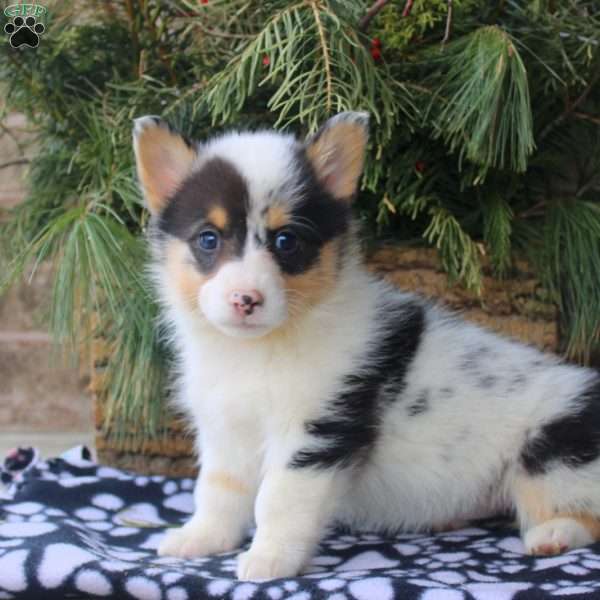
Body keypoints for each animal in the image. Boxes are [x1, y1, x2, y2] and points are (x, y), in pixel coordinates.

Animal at [134, 113, 600, 580]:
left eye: (286, 241)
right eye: (208, 239)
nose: (245, 300)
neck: (257, 349)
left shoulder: (315, 434)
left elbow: (279, 500)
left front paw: (269, 559)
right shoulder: (226, 433)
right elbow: (217, 493)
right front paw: (199, 539)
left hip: (549, 455)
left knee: (583, 514)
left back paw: (552, 535)